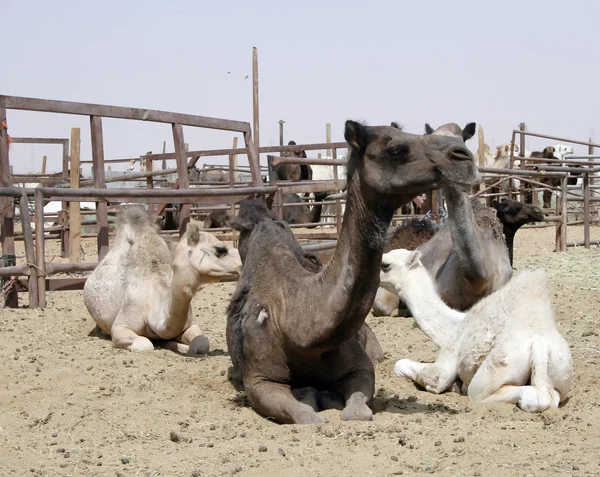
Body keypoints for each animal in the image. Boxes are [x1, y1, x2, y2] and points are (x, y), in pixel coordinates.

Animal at [84, 205, 241, 354]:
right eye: (220, 249)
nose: (242, 263)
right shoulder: (120, 327)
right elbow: (145, 344)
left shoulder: (190, 324)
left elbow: (201, 343)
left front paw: (177, 345)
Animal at [223, 120, 480, 424]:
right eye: (397, 149)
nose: (464, 156)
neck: (298, 328)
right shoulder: (260, 380)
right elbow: (306, 415)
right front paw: (311, 397)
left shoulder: (362, 368)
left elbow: (357, 409)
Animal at [380, 249, 572, 412]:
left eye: (385, 264)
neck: (455, 325)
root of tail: (540, 345)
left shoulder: (449, 357)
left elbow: (408, 368)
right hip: (560, 375)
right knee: (553, 396)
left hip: (497, 369)